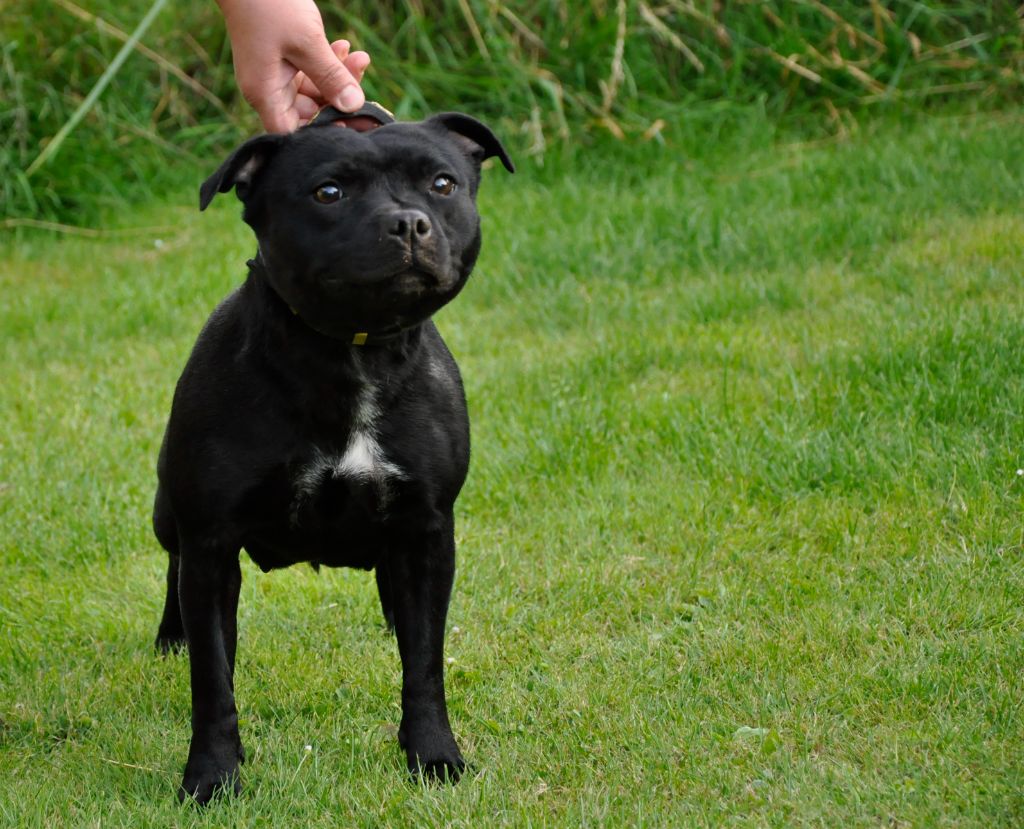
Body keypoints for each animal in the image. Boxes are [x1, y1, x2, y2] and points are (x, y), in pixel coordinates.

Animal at [151, 104, 513, 803]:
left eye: (443, 184)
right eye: (328, 193)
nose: (408, 222)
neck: (352, 352)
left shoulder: (428, 530)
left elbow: (424, 664)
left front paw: (434, 757)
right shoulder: (210, 544)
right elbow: (213, 681)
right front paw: (211, 778)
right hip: (168, 518)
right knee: (173, 569)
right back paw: (170, 638)